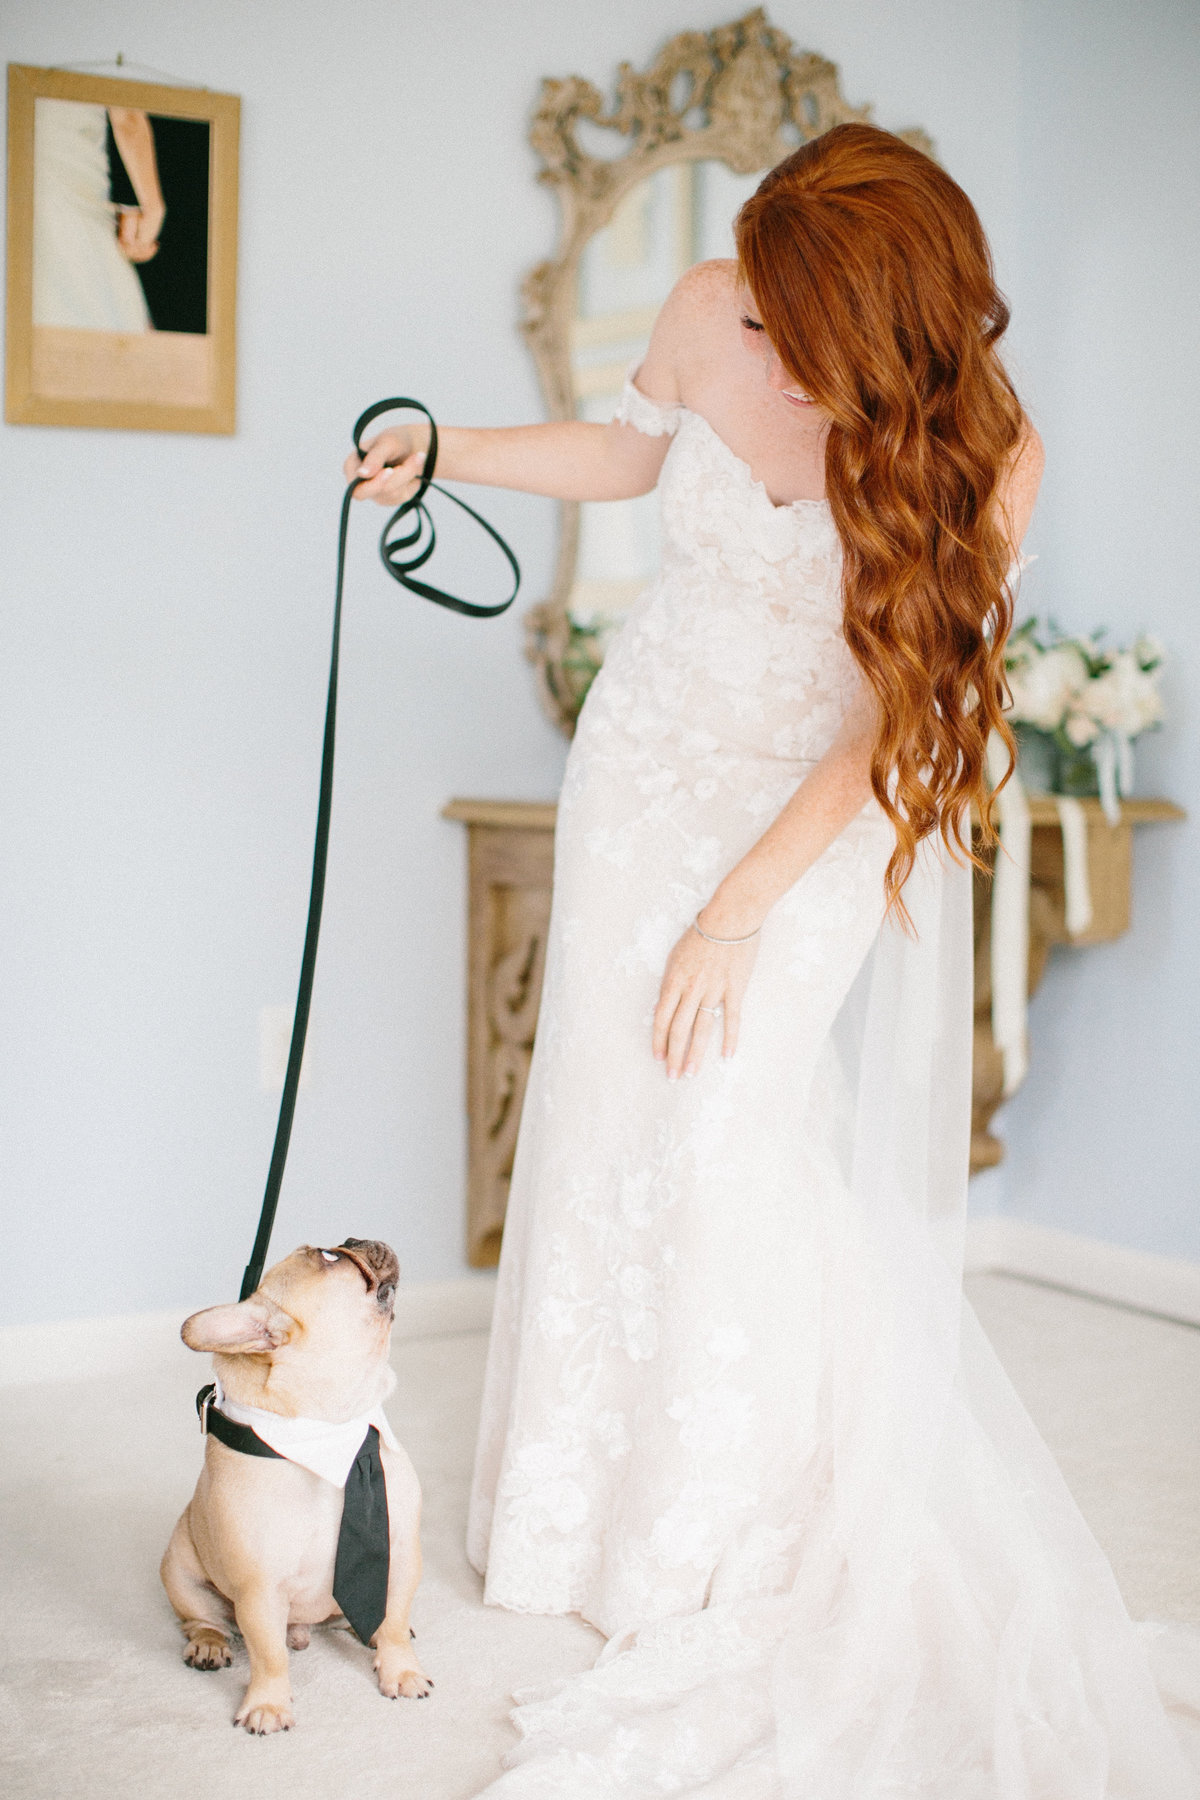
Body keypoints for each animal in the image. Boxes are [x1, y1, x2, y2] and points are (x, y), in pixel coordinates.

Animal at [161, 1238, 429, 1728]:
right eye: (330, 1256)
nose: (357, 1237)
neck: (330, 1422)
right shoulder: (259, 1589)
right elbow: (269, 1655)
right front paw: (267, 1703)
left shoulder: (400, 1557)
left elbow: (395, 1623)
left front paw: (401, 1670)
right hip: (180, 1573)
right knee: (204, 1621)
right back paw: (208, 1645)